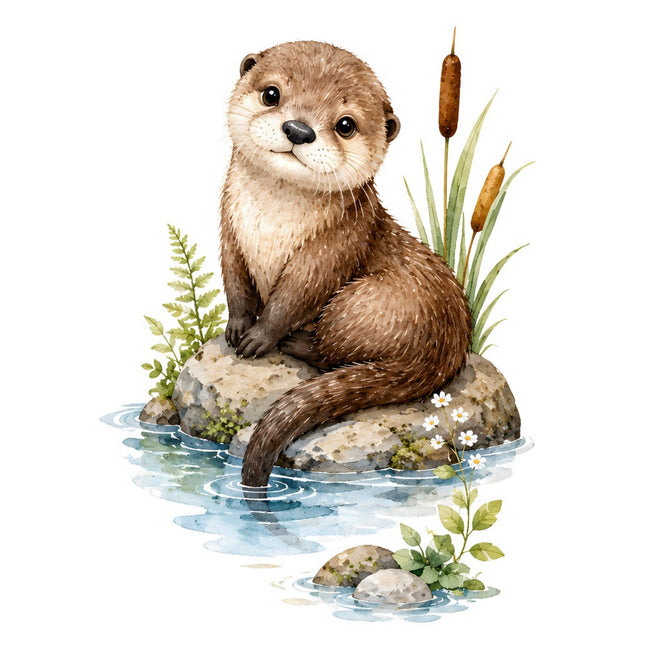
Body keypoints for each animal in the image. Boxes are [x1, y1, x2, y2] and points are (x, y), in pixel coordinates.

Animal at [220, 41, 471, 487]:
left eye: (346, 125)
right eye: (271, 93)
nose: (298, 130)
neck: (270, 223)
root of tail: (446, 349)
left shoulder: (335, 244)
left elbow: (295, 295)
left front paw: (259, 337)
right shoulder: (231, 227)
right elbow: (235, 280)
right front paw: (236, 326)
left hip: (365, 304)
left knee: (333, 349)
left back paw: (297, 343)